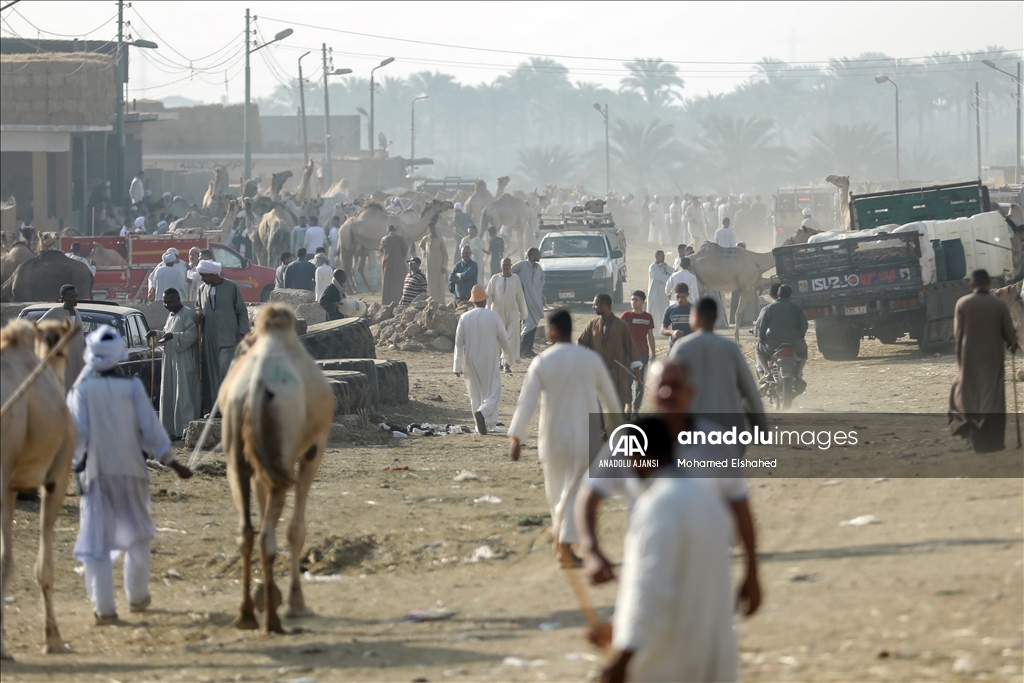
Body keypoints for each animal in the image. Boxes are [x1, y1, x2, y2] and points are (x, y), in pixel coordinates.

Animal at [219, 305, 331, 634]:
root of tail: (257, 386)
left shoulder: (261, 466)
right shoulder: (312, 450)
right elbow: (296, 531)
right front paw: (296, 603)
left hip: (238, 460)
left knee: (247, 532)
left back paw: (246, 615)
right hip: (284, 452)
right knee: (268, 536)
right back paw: (272, 621)